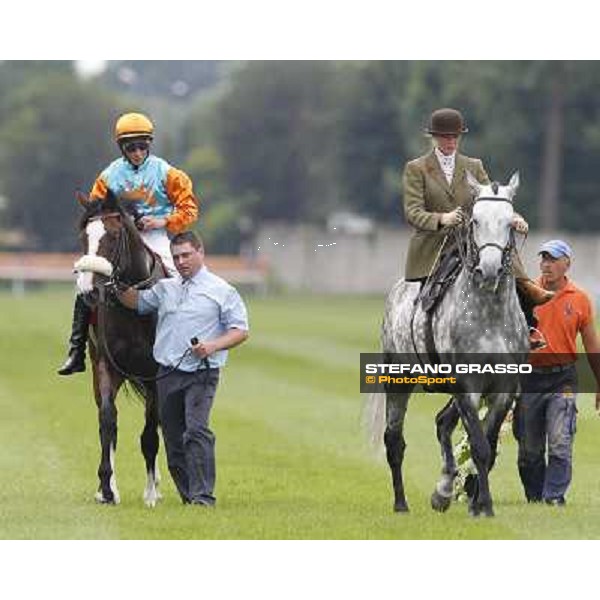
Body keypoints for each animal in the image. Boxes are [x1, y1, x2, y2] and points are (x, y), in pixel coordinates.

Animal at [76, 189, 169, 506]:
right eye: (84, 236)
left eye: (114, 236)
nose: (89, 290)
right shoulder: (106, 364)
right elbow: (107, 421)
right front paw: (106, 488)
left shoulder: (156, 374)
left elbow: (150, 432)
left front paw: (151, 493)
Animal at [366, 170, 528, 516]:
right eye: (475, 220)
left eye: (510, 222)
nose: (489, 270)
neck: (490, 314)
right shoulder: (468, 387)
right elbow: (479, 446)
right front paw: (485, 505)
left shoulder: (504, 389)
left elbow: (487, 446)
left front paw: (476, 503)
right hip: (398, 380)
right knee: (394, 440)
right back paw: (401, 503)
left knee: (442, 423)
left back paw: (442, 491)